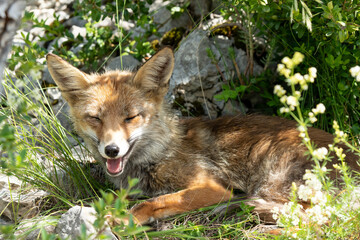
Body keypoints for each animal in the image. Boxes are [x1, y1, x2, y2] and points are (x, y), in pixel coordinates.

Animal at [45, 47, 360, 226]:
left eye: (130, 117)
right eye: (95, 118)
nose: (111, 150)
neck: (158, 152)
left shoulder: (211, 187)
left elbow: (151, 202)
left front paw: (122, 219)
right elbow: (114, 198)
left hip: (271, 180)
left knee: (317, 217)